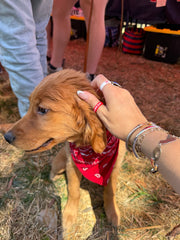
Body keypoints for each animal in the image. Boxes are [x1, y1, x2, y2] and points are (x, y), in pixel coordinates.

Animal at [4, 69, 125, 229]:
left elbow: (110, 191)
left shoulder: (114, 167)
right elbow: (73, 190)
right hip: (60, 162)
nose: (6, 137)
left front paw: (113, 212)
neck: (87, 148)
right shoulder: (71, 164)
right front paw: (68, 214)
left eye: (42, 109)